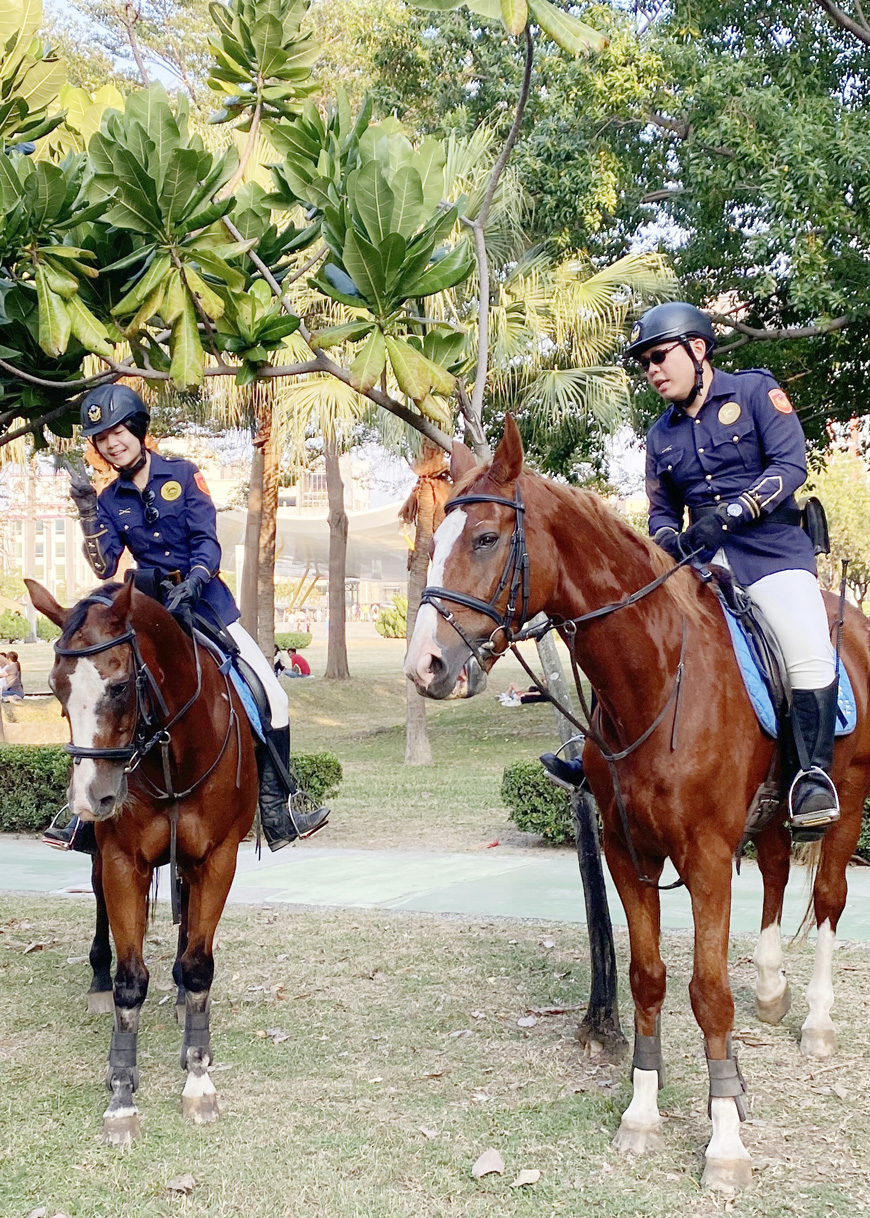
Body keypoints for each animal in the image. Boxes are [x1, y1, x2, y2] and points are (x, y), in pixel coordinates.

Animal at [25, 574, 257, 1144]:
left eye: (120, 686)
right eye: (58, 689)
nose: (91, 797)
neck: (173, 749)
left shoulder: (218, 858)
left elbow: (198, 966)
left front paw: (198, 1074)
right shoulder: (121, 862)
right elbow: (131, 982)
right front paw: (122, 1094)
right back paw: (98, 981)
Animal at [402, 418, 867, 1188]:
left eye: (486, 538)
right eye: (434, 540)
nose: (425, 667)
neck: (654, 679)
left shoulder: (705, 857)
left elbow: (708, 992)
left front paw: (724, 1140)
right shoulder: (629, 854)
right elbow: (648, 980)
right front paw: (644, 1114)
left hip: (848, 800)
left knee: (827, 897)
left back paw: (817, 1021)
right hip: (768, 811)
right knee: (775, 868)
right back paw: (773, 988)